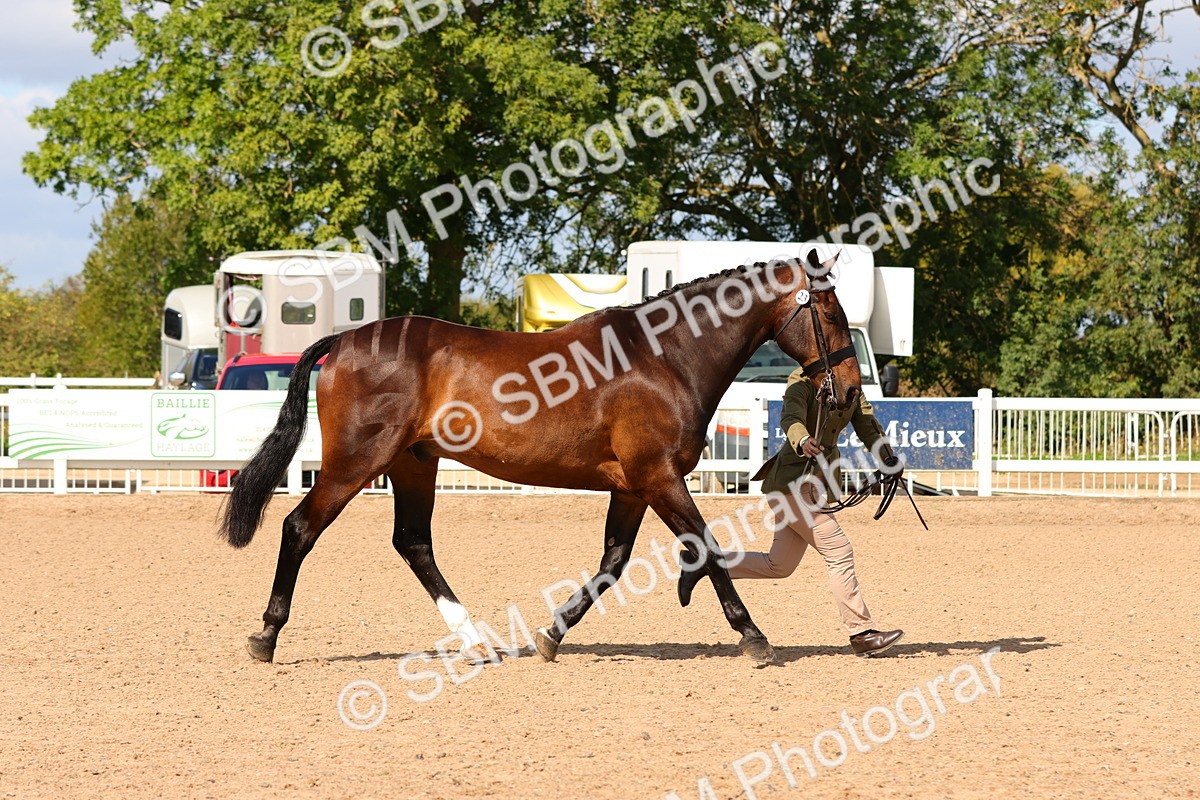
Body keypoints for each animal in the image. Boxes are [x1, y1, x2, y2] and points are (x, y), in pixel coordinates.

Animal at [219, 250, 863, 665]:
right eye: (831, 313)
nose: (852, 390)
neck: (667, 357)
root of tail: (345, 340)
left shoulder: (633, 486)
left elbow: (613, 562)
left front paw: (552, 635)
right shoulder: (659, 478)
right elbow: (704, 548)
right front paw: (754, 637)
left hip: (413, 463)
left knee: (413, 542)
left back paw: (477, 640)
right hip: (357, 463)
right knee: (300, 527)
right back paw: (266, 638)